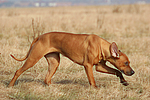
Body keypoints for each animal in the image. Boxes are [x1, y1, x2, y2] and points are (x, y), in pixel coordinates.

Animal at [7, 31, 135, 87]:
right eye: (126, 63)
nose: (133, 72)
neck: (101, 45)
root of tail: (40, 36)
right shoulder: (88, 66)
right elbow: (92, 80)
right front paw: (95, 88)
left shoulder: (100, 66)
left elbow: (117, 71)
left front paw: (123, 81)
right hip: (33, 59)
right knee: (18, 71)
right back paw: (10, 85)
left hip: (54, 63)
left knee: (47, 79)